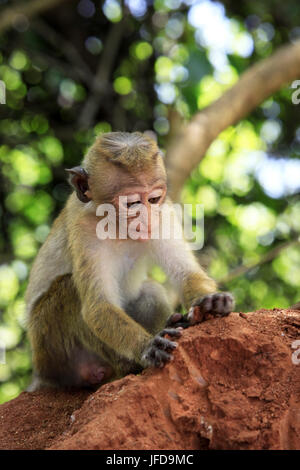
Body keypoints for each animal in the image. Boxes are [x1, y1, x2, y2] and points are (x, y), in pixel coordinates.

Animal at [25, 131, 234, 390]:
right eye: (132, 203)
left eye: (153, 199)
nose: (147, 218)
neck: (116, 227)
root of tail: (40, 374)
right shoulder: (83, 228)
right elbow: (98, 306)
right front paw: (147, 348)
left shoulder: (164, 213)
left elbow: (186, 272)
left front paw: (210, 303)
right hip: (50, 350)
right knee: (69, 288)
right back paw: (130, 366)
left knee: (150, 292)